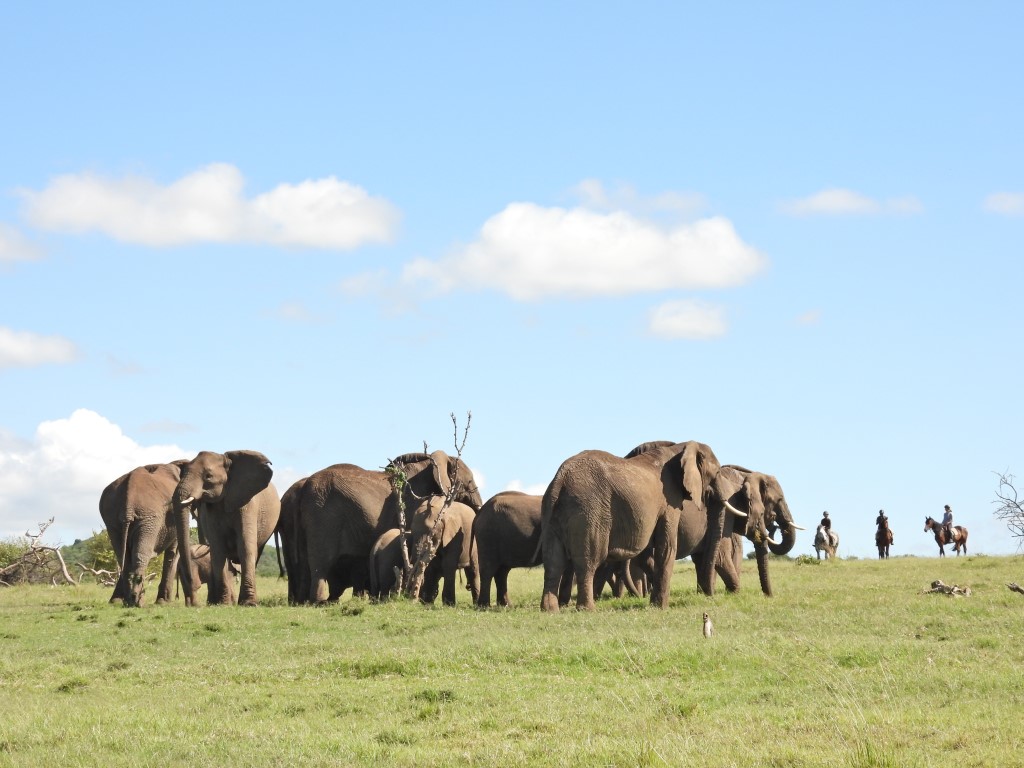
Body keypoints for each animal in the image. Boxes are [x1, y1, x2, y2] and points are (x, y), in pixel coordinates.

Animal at [100, 460, 189, 610]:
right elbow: (172, 552)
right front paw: (163, 602)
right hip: (149, 517)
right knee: (141, 554)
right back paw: (138, 602)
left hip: (112, 519)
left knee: (123, 556)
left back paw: (124, 601)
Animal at [174, 450, 280, 606]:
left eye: (208, 476)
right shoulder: (210, 510)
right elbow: (218, 550)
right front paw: (223, 604)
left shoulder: (247, 503)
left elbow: (245, 547)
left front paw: (249, 604)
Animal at [299, 450, 483, 606]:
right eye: (470, 482)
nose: (467, 586)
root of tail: (305, 485)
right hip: (323, 515)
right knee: (321, 563)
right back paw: (319, 602)